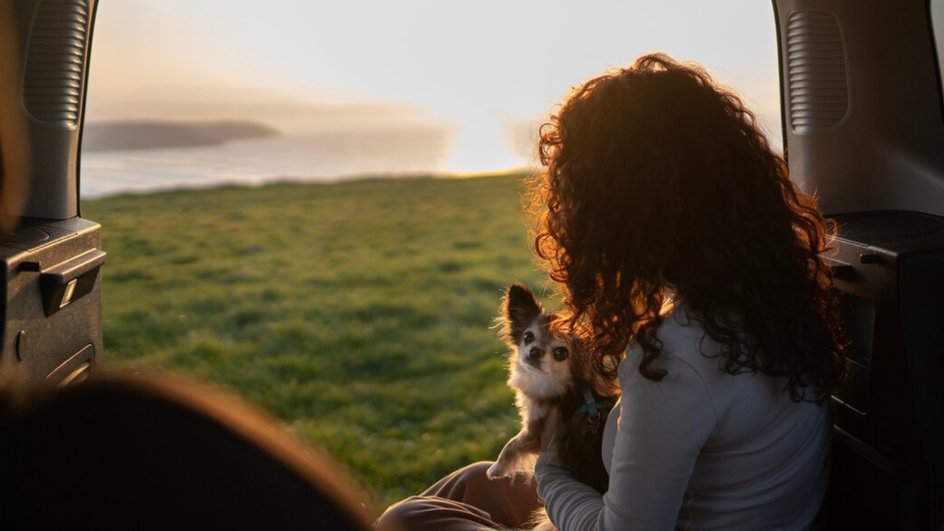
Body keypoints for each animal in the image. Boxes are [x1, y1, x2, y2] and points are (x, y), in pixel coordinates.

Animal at [490, 282, 616, 498]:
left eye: (560, 353)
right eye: (528, 336)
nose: (535, 351)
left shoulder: (536, 432)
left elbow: (512, 443)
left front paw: (496, 468)